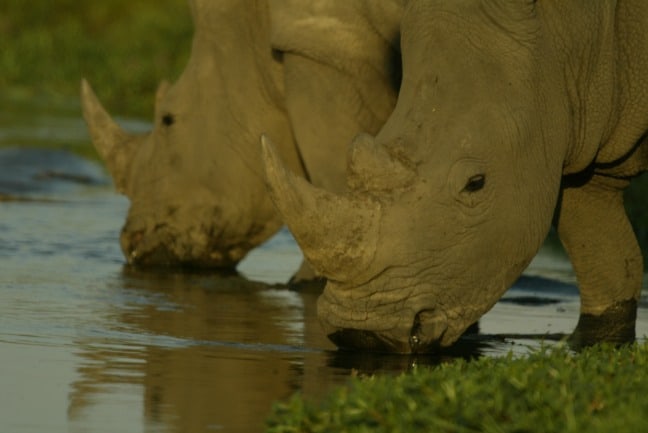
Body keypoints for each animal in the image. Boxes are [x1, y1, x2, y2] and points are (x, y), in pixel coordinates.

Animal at [264, 0, 648, 352]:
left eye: (476, 183)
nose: (363, 332)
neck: (577, 29)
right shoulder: (576, 135)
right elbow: (604, 256)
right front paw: (596, 346)